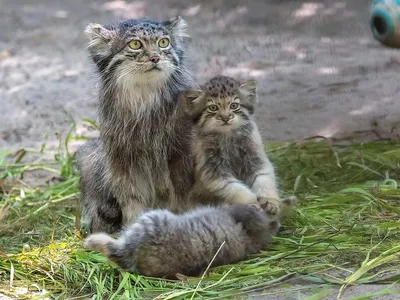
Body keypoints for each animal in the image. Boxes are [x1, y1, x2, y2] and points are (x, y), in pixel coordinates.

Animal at [74, 17, 197, 234]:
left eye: (163, 42)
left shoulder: (181, 157)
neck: (144, 104)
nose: (156, 57)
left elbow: (183, 199)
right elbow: (132, 203)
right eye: (135, 44)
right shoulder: (122, 164)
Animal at [184, 75, 288, 218]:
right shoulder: (214, 173)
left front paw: (271, 201)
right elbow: (237, 190)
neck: (228, 136)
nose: (225, 117)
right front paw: (251, 203)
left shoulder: (258, 161)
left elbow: (265, 180)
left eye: (234, 105)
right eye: (213, 108)